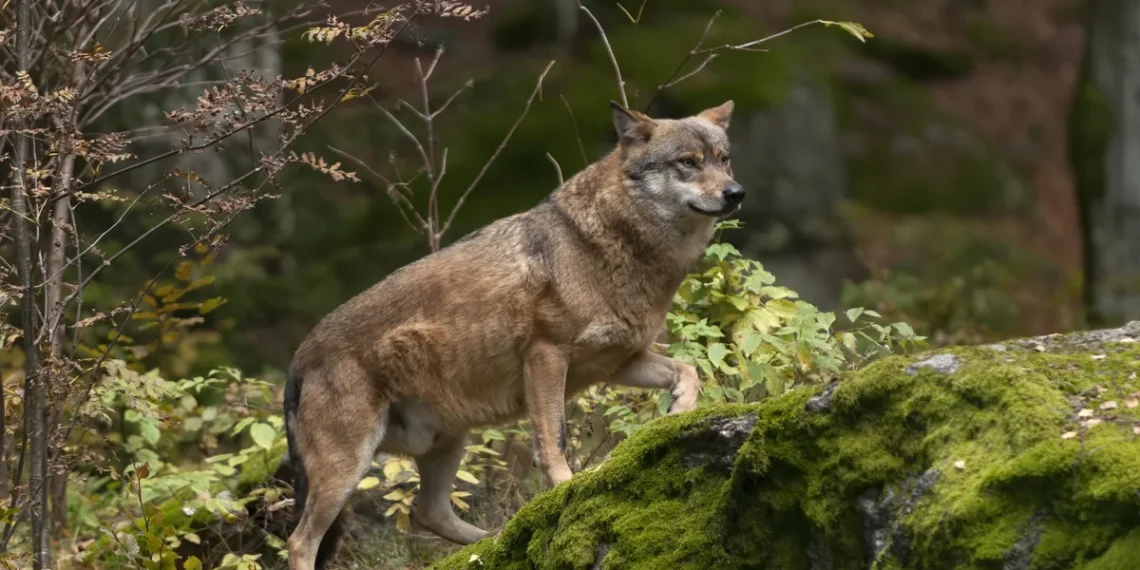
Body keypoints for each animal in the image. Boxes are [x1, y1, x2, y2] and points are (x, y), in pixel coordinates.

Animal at [283, 99, 743, 570]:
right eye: (688, 162)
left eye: (723, 159)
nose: (735, 193)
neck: (617, 245)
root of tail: (297, 361)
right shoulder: (546, 355)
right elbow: (554, 441)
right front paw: (567, 489)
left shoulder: (619, 363)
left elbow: (688, 372)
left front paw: (678, 411)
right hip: (348, 470)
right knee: (301, 541)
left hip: (447, 442)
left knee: (427, 512)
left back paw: (496, 538)